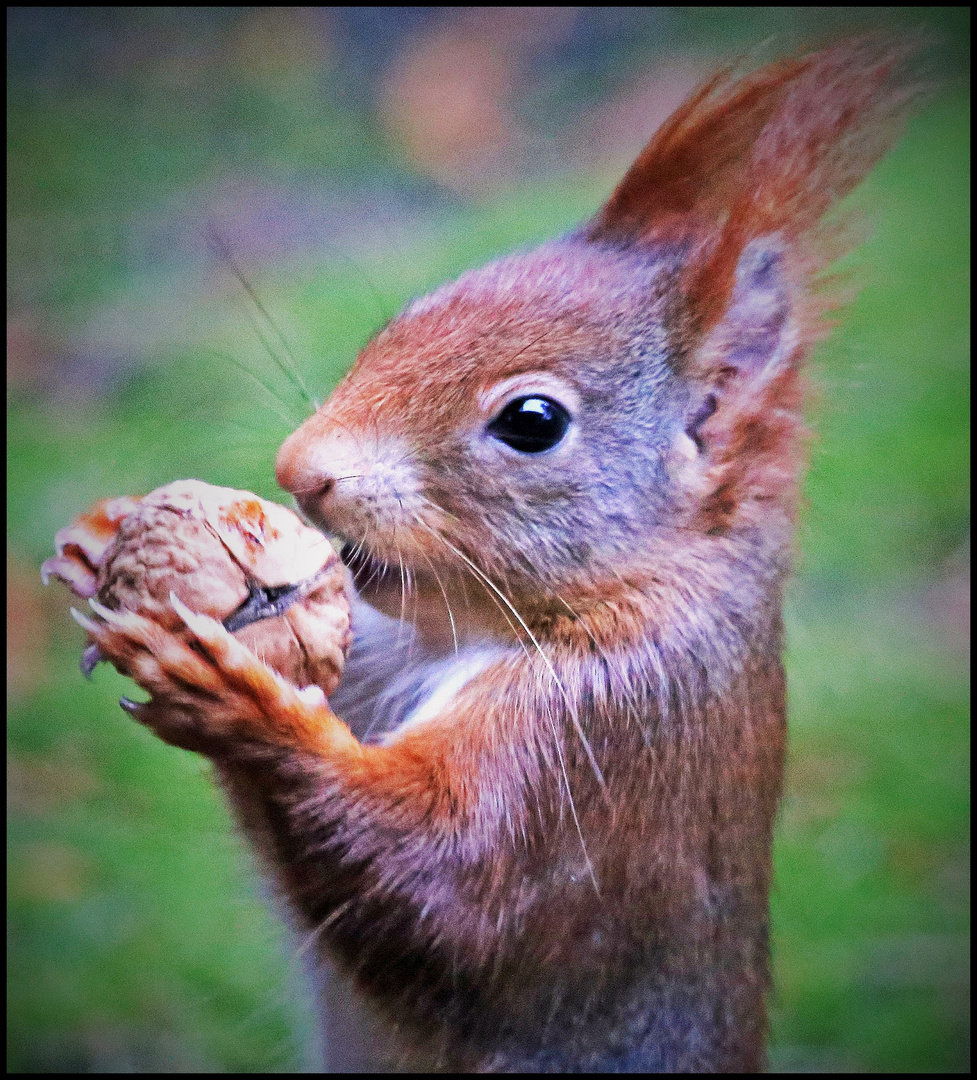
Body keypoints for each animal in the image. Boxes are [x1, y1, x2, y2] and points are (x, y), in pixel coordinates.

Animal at [53, 38, 919, 1075]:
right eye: (409, 315)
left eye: (532, 422)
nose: (299, 469)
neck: (446, 633)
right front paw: (108, 543)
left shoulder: (603, 750)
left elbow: (446, 897)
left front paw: (233, 702)